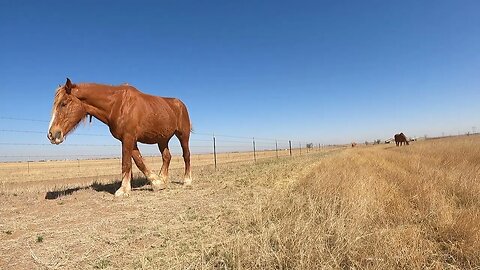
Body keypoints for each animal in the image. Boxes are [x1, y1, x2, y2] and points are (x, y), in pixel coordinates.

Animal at [47, 78, 191, 196]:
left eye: (64, 103)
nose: (51, 134)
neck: (118, 104)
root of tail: (180, 104)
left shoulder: (128, 138)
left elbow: (126, 163)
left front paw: (123, 190)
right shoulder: (128, 139)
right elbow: (139, 161)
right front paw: (157, 183)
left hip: (183, 135)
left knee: (186, 155)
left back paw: (187, 181)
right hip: (162, 139)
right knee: (166, 157)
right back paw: (163, 178)